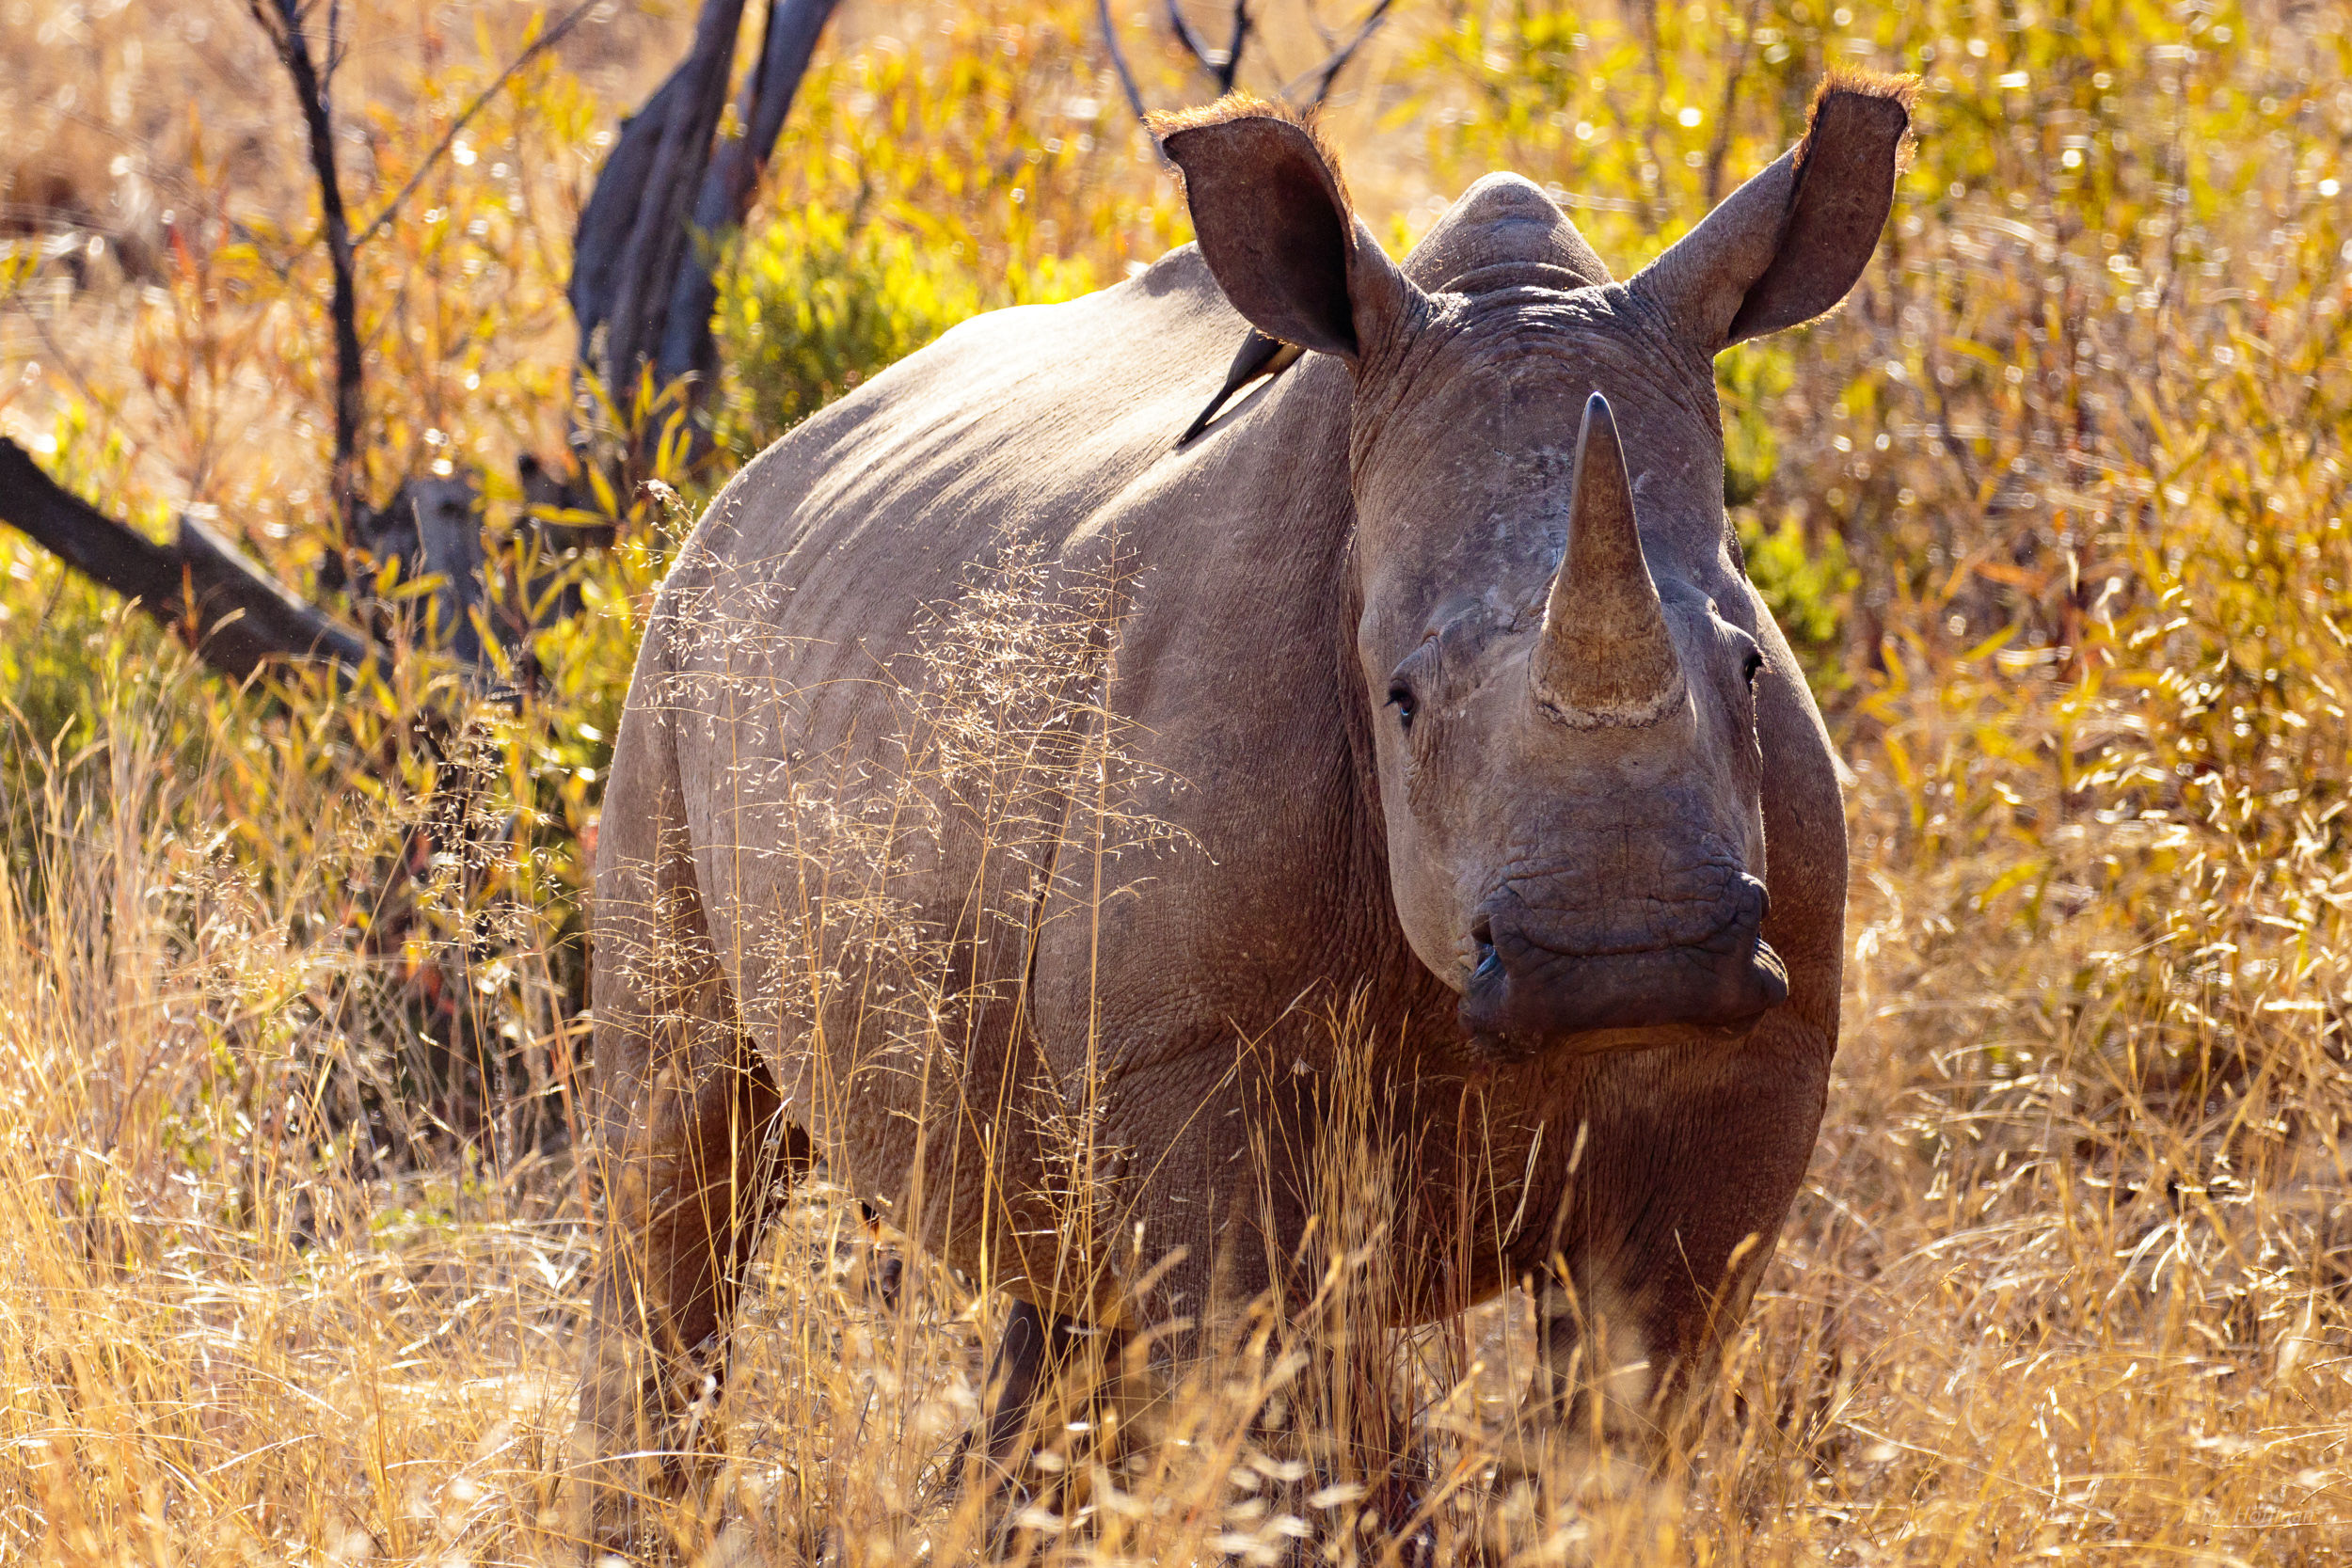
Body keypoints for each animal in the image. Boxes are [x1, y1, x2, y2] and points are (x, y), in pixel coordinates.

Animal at [571, 71, 1916, 1544]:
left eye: (1748, 666)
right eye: (1399, 700)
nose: (1628, 956)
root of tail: (750, 475)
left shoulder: (1761, 1052)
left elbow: (1633, 1410)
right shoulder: (1195, 1058)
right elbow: (1297, 1415)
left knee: (1062, 1283)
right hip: (676, 660)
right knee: (677, 1151)